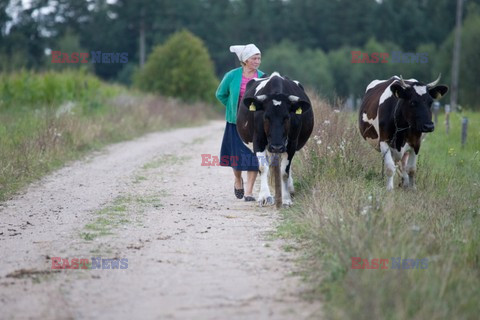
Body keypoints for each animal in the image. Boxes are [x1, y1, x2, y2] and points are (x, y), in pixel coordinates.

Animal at [237, 71, 316, 206]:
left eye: (287, 117)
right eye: (266, 117)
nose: (276, 146)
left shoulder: (291, 144)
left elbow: (284, 171)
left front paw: (286, 198)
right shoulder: (258, 141)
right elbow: (263, 167)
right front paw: (264, 196)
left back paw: (289, 188)